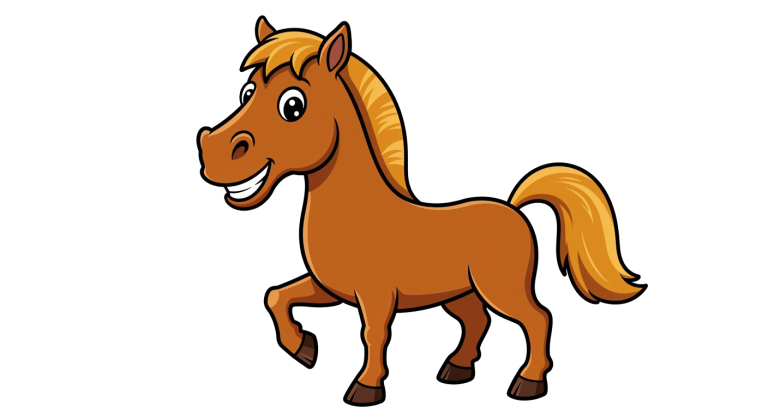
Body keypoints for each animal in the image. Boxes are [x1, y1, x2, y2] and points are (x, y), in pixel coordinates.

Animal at [197, 18, 643, 405]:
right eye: (247, 93)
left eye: (293, 105)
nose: (215, 153)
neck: (354, 213)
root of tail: (513, 209)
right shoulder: (330, 288)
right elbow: (278, 297)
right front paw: (303, 348)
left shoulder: (375, 296)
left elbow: (374, 334)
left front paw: (366, 388)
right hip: (460, 293)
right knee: (477, 321)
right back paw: (457, 369)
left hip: (501, 289)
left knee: (537, 319)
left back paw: (528, 383)